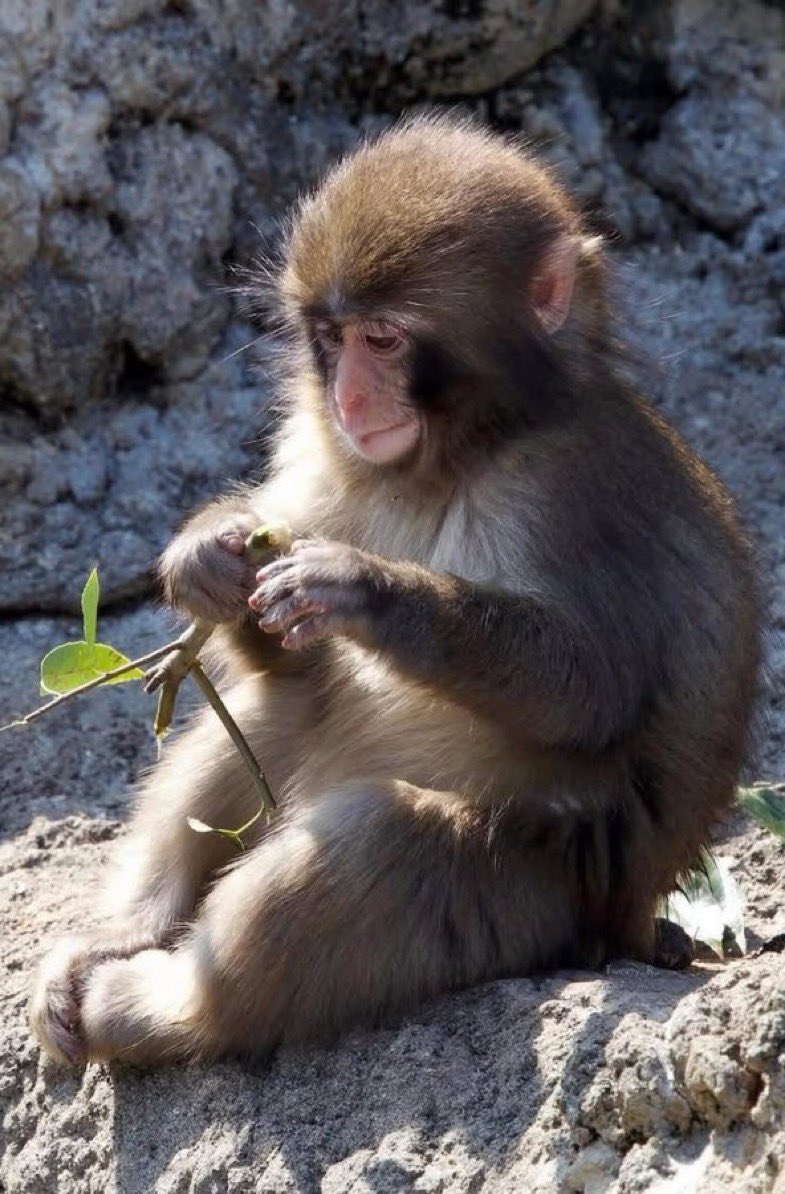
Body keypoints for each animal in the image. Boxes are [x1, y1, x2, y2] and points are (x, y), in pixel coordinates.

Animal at [30, 113, 761, 1067]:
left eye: (382, 338)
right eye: (331, 336)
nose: (346, 397)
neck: (457, 451)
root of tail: (630, 924)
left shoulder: (567, 487)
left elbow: (591, 692)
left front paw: (366, 589)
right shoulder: (320, 452)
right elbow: (275, 643)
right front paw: (207, 560)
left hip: (534, 896)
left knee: (382, 839)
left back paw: (158, 1009)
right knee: (282, 708)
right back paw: (125, 937)